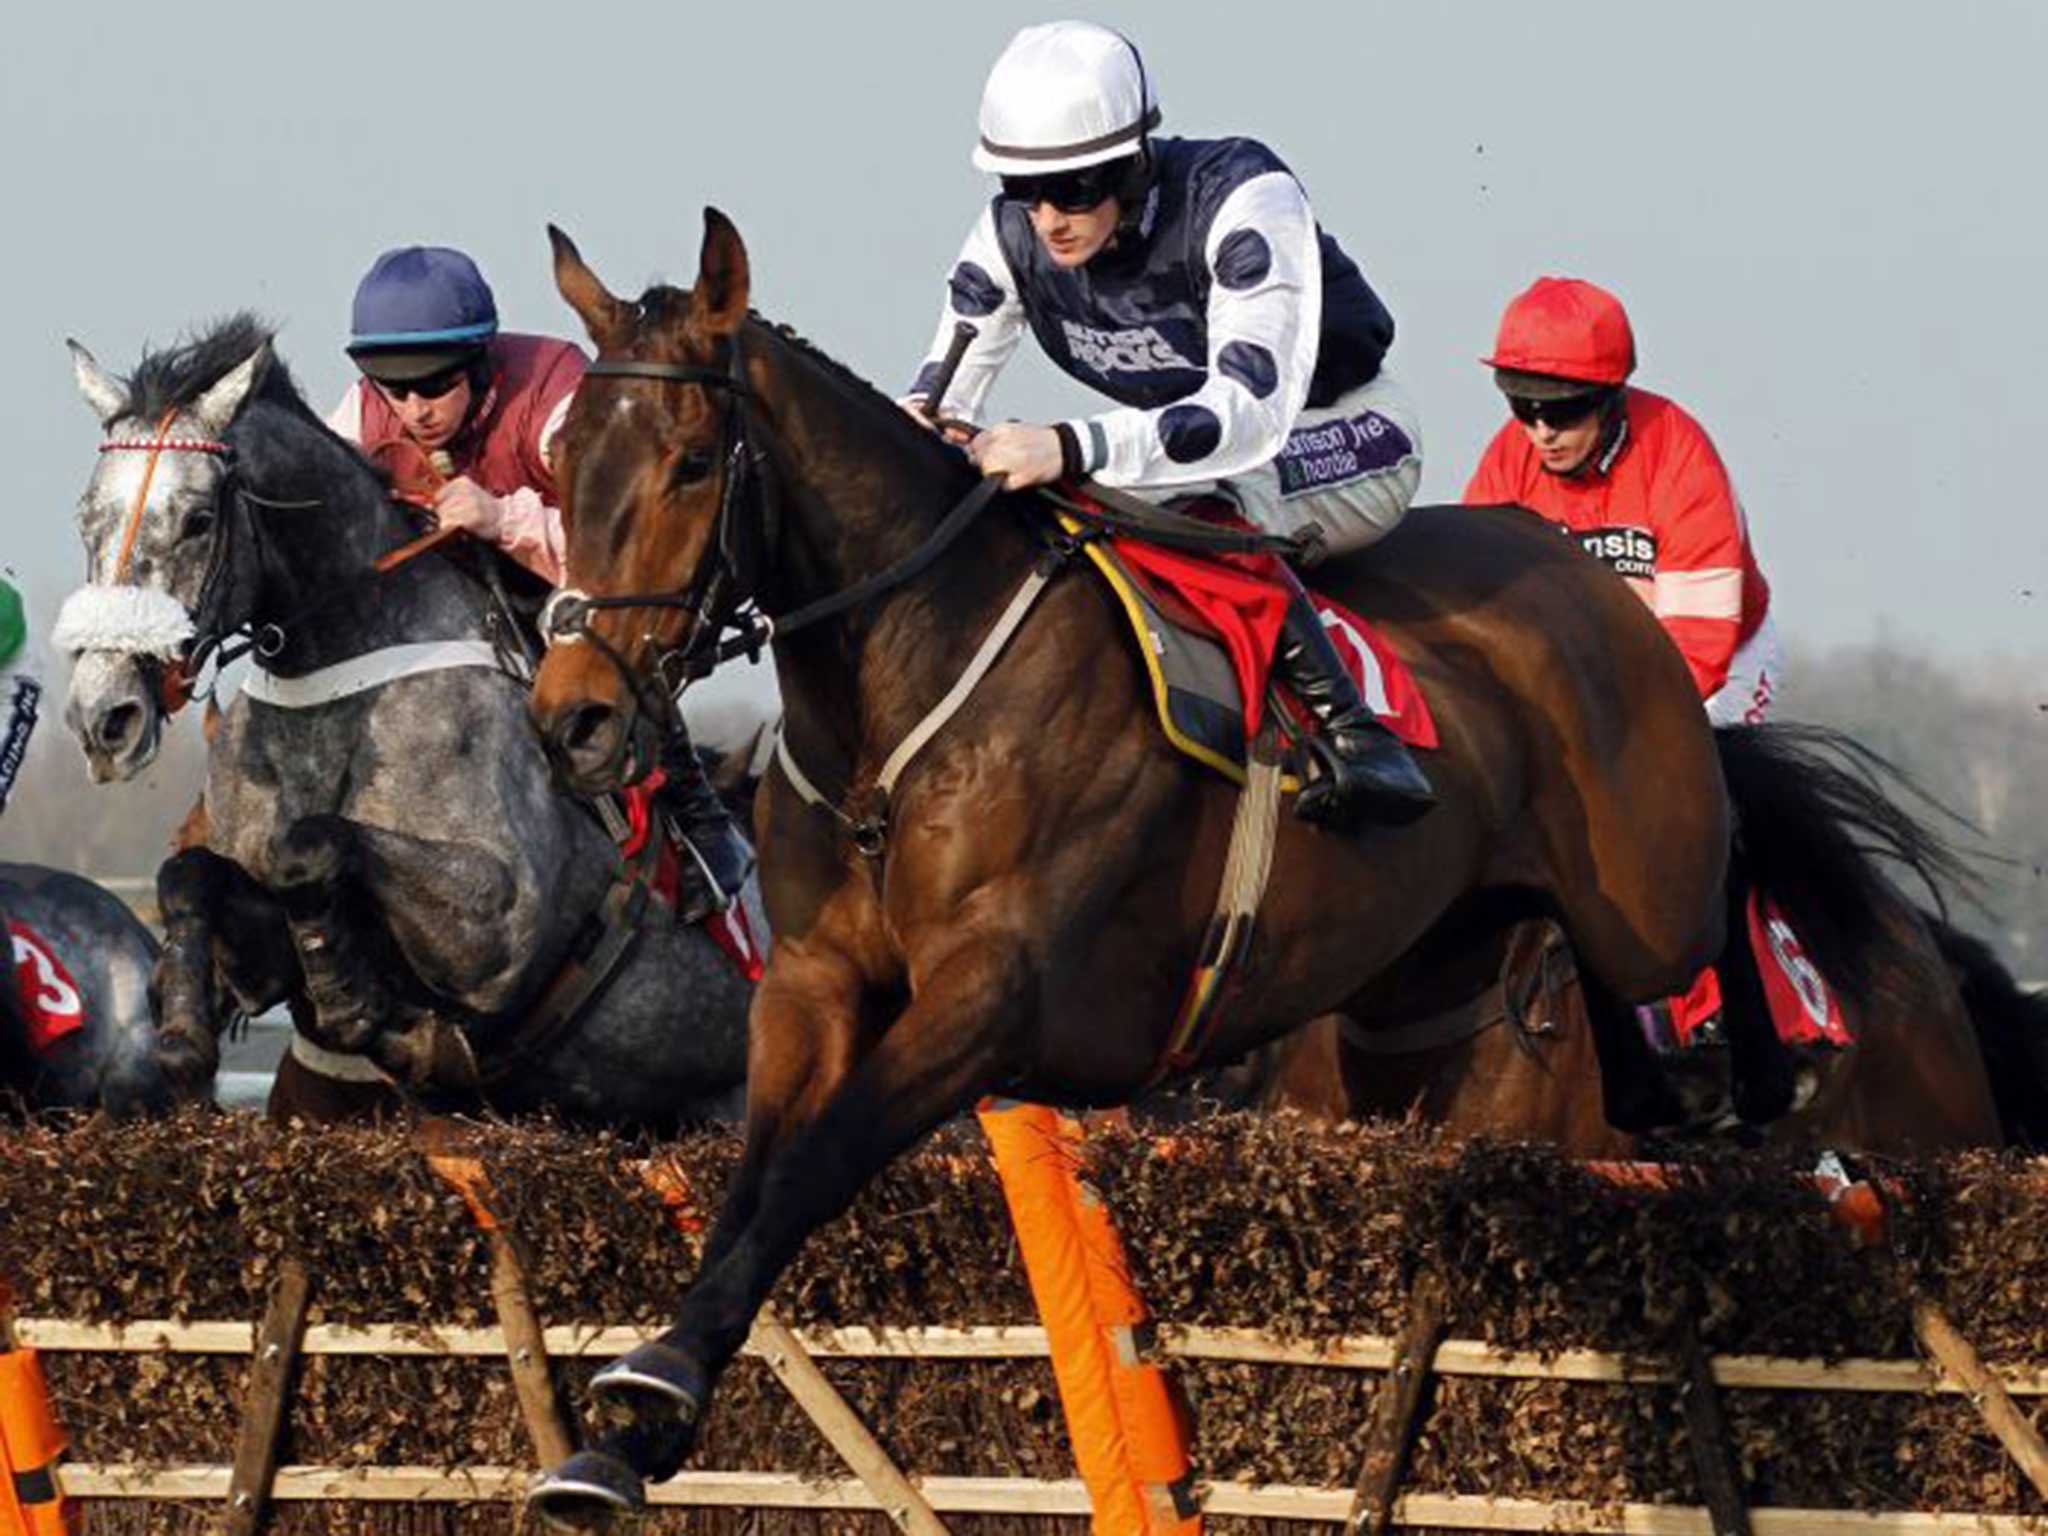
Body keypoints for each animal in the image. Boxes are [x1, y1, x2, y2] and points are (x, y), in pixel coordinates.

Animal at [59, 315, 757, 1130]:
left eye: (199, 521)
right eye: (86, 520)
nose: (105, 714)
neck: (335, 693)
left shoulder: (494, 924)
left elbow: (313, 845)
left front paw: (352, 999)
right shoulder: (255, 931)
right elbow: (191, 874)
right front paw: (181, 1032)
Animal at [524, 210, 1744, 1523]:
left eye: (693, 463)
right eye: (563, 461)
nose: (574, 719)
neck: (902, 697)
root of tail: (1574, 566)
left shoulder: (990, 997)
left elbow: (814, 1164)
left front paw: (653, 1385)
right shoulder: (807, 985)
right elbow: (748, 1181)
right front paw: (625, 1432)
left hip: (1647, 899)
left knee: (1710, 908)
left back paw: (1712, 1068)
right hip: (1414, 1019)